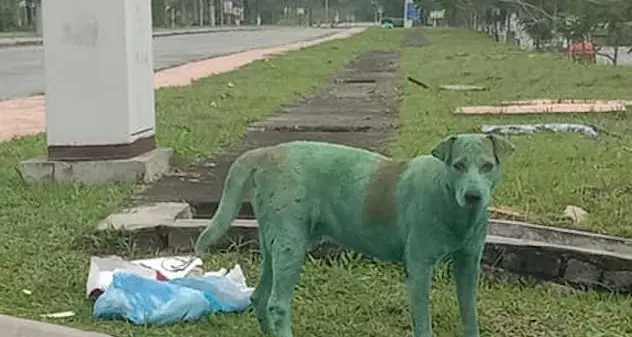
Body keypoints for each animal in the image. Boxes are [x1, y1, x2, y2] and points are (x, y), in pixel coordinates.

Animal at [196, 133, 512, 336]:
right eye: (458, 166)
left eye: (487, 166)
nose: (473, 196)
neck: (449, 199)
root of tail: (268, 152)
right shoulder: (420, 268)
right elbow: (423, 322)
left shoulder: (468, 264)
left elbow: (470, 314)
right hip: (290, 246)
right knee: (277, 305)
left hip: (275, 245)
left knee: (260, 297)